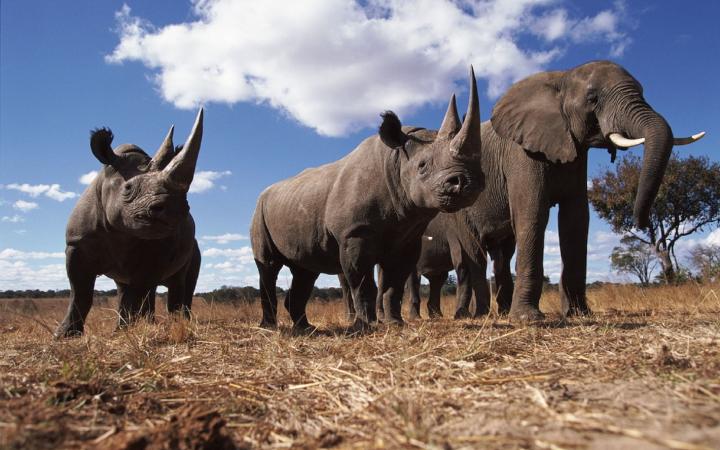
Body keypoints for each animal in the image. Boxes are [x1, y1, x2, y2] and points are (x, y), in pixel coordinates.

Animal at [54, 109, 202, 336]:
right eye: (128, 188)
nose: (176, 209)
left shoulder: (157, 249)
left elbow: (139, 291)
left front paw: (135, 329)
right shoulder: (76, 242)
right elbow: (80, 292)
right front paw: (65, 335)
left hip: (194, 247)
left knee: (179, 281)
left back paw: (178, 323)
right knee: (127, 286)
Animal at [249, 68, 484, 332]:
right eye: (422, 166)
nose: (467, 182)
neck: (396, 160)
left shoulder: (407, 236)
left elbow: (394, 284)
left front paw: (395, 323)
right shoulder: (355, 232)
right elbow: (362, 283)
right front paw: (367, 326)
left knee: (305, 269)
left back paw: (305, 328)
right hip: (259, 210)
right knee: (269, 266)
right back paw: (269, 327)